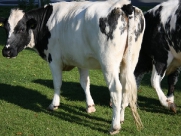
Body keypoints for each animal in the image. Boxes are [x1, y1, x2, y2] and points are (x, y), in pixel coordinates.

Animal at [0, 0, 144, 134]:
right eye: (6, 29)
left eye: (21, 29)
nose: (6, 51)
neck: (46, 21)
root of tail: (124, 5)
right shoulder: (82, 60)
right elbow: (85, 83)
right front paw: (90, 106)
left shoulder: (54, 59)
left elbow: (57, 83)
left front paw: (54, 104)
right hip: (130, 61)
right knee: (126, 87)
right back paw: (121, 118)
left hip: (109, 63)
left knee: (116, 89)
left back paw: (115, 126)